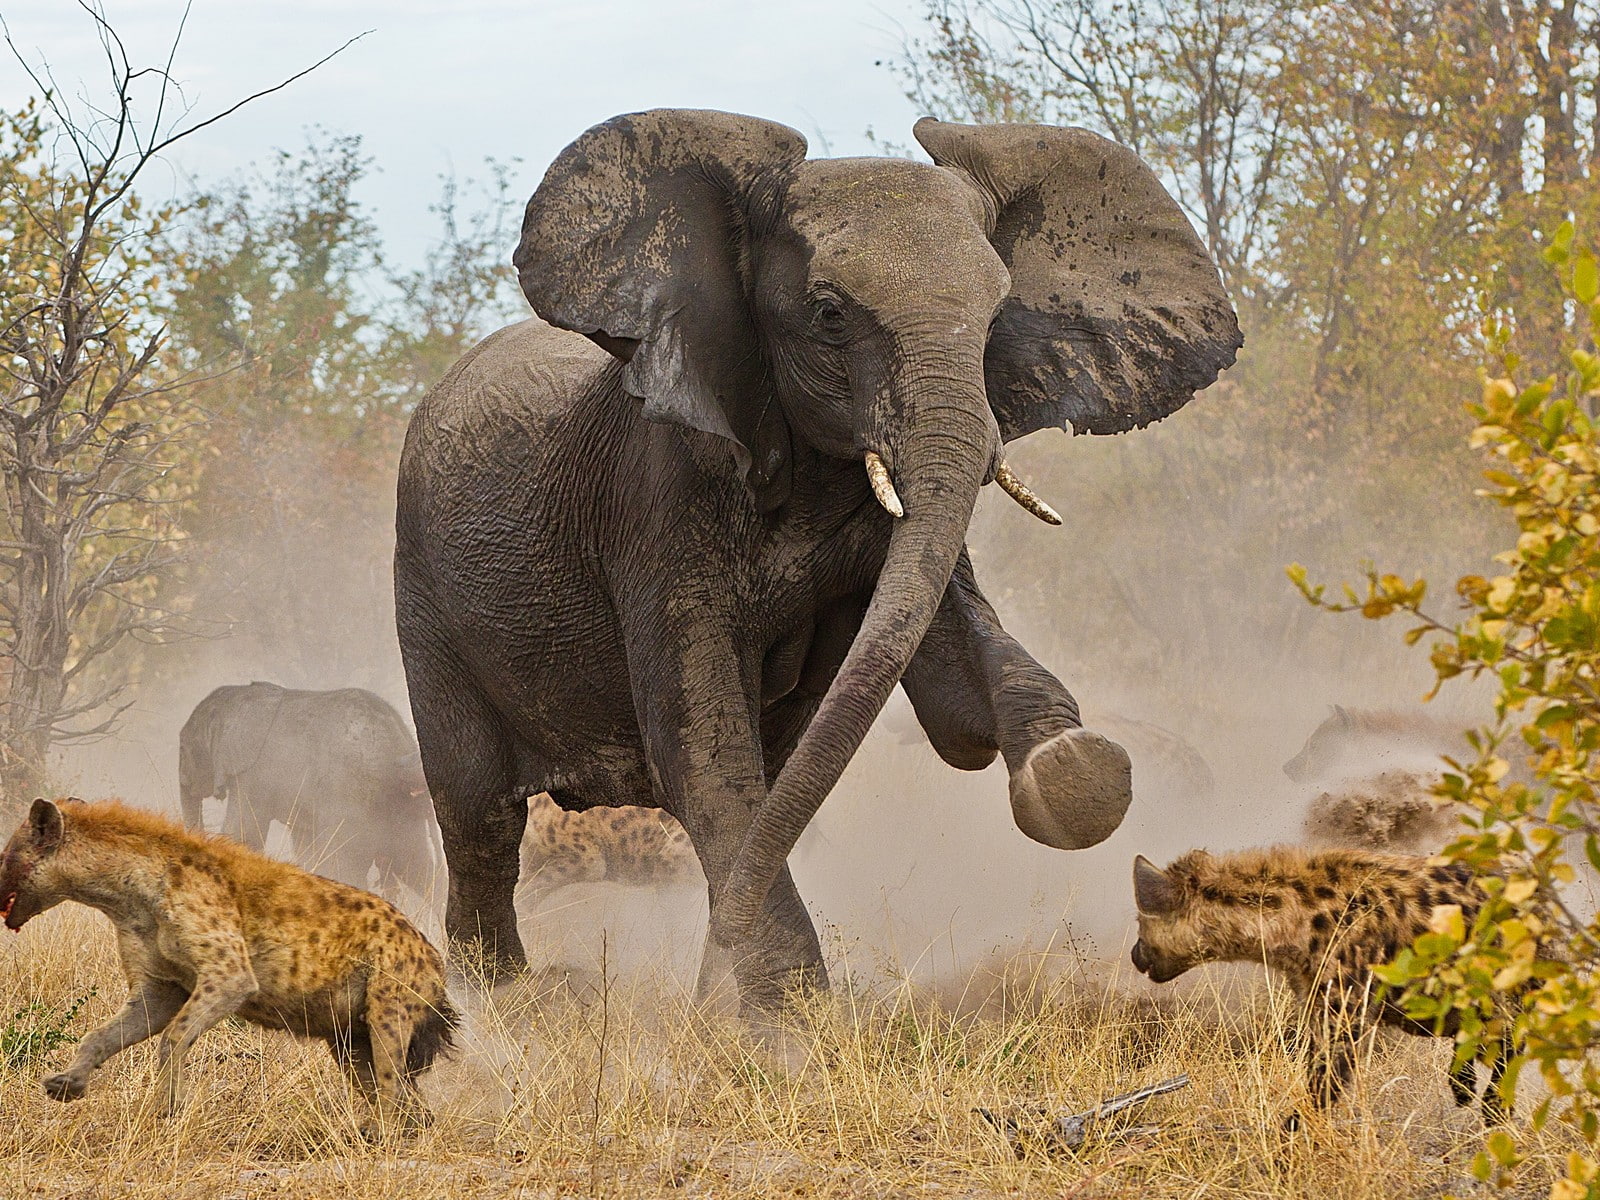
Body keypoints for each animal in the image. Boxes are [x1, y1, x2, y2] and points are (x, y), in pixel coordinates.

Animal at [178, 682, 440, 900]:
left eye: (186, 747)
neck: (237, 695)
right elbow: (304, 846)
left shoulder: (253, 775)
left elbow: (243, 832)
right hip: (401, 808)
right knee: (420, 870)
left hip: (354, 804)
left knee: (347, 866)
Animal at [393, 110, 1241, 1011]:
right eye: (830, 314)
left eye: (995, 319)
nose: (702, 998)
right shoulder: (658, 495)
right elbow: (699, 745)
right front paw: (789, 1022)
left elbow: (950, 687)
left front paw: (1073, 769)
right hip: (425, 593)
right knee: (480, 814)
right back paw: (501, 999)